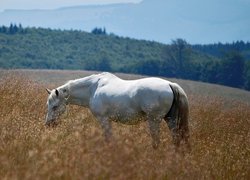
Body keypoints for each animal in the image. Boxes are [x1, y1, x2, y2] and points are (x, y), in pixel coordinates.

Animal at [45, 72, 189, 148]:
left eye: (55, 106)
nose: (48, 125)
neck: (93, 88)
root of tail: (170, 84)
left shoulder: (103, 119)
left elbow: (108, 138)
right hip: (171, 120)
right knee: (176, 139)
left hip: (154, 120)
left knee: (156, 141)